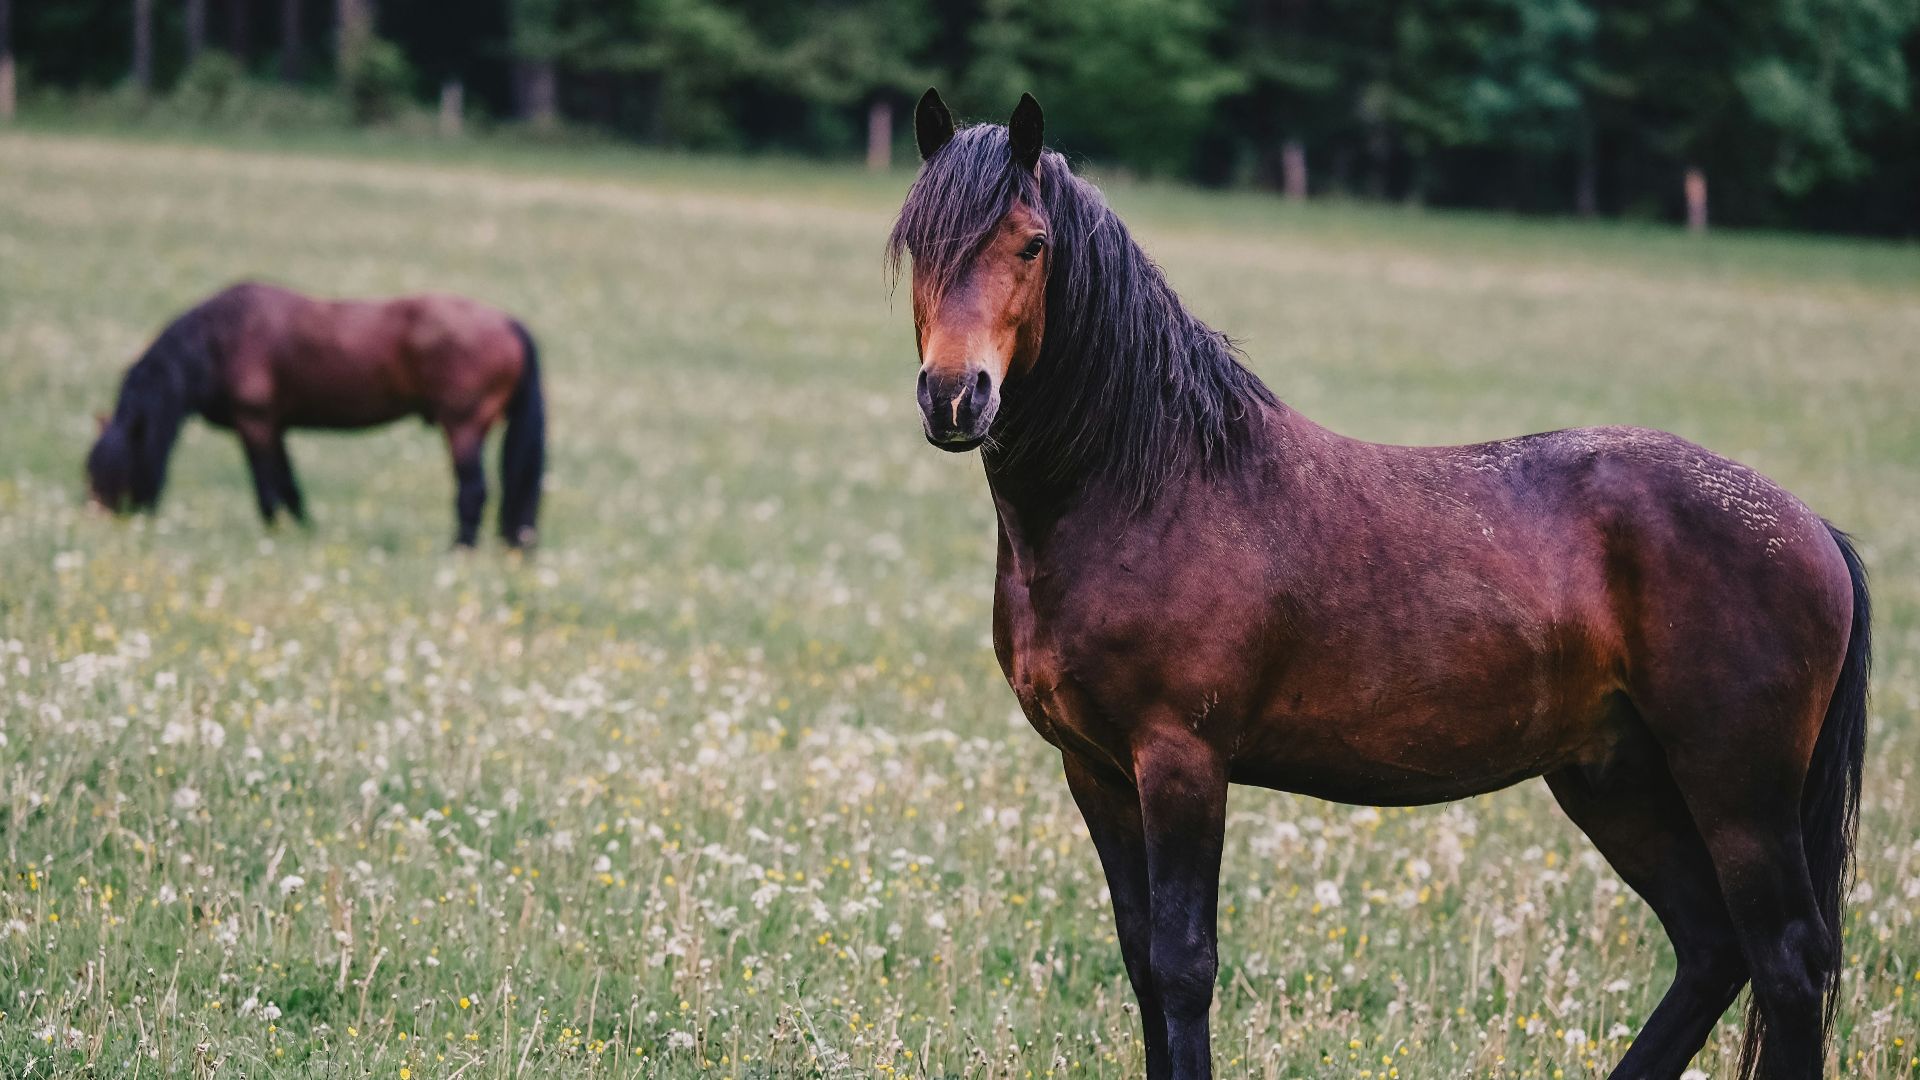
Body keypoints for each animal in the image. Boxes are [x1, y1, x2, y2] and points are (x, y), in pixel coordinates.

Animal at [86, 282, 545, 548]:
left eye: (111, 469)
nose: (100, 522)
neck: (220, 339)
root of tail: (509, 322)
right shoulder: (276, 427)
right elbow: (290, 488)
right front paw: (306, 533)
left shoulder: (254, 425)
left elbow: (267, 491)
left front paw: (274, 537)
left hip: (462, 426)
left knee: (473, 491)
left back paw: (458, 549)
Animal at [891, 90, 1869, 1080]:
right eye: (916, 244)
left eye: (1032, 244)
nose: (956, 397)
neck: (1151, 486)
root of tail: (1810, 527)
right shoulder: (1093, 767)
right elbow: (1138, 962)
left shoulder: (1182, 760)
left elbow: (1182, 966)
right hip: (1617, 779)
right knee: (1712, 949)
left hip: (1736, 789)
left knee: (1786, 959)